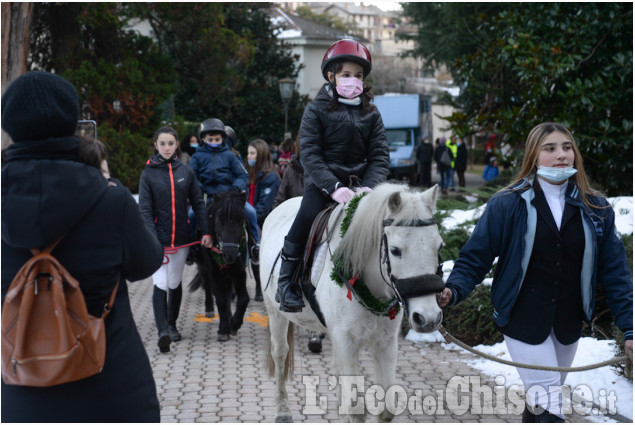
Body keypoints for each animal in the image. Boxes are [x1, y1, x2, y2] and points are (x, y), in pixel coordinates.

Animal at [260, 182, 444, 420]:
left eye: (439, 247)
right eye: (395, 250)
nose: (428, 318)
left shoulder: (385, 343)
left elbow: (386, 409)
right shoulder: (346, 342)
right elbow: (356, 408)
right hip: (275, 313)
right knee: (280, 353)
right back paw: (282, 410)